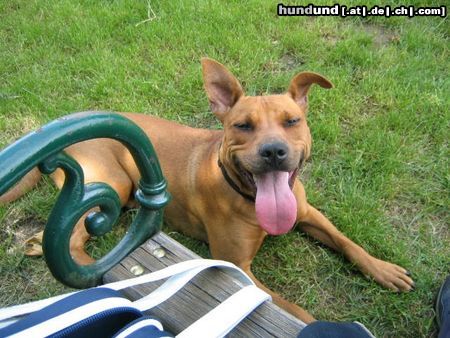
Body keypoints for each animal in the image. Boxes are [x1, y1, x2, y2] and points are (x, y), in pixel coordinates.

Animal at [0, 58, 414, 322]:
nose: (273, 151)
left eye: (292, 121)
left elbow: (347, 242)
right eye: (243, 126)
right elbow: (295, 311)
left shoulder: (309, 214)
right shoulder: (238, 266)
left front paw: (383, 269)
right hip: (111, 183)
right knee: (70, 239)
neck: (246, 196)